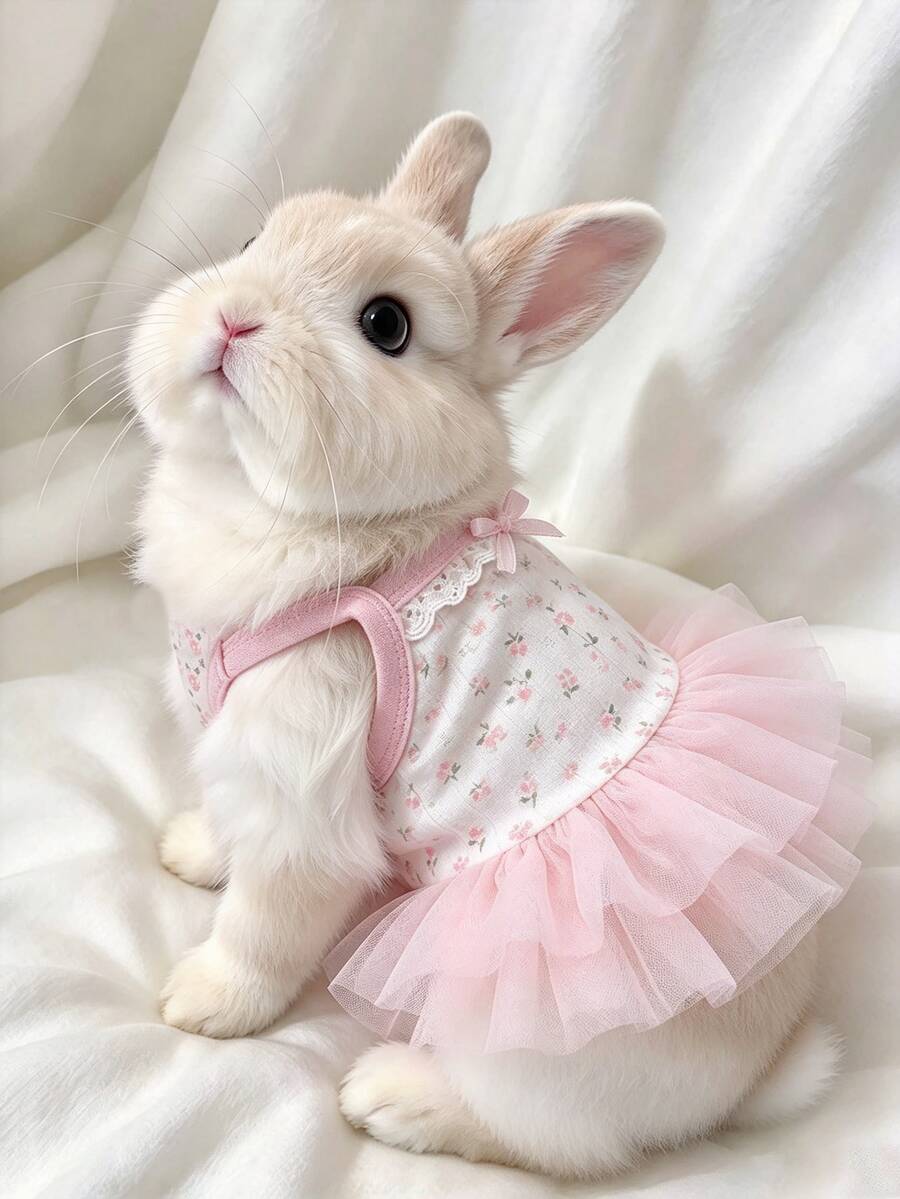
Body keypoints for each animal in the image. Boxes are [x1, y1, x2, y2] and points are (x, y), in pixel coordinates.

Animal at [128, 113, 864, 1179]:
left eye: (385, 326)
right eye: (251, 240)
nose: (234, 319)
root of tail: (751, 1080)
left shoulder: (303, 799)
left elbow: (265, 925)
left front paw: (202, 1001)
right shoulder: (242, 763)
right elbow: (229, 836)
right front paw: (189, 850)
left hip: (524, 1047)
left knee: (554, 1145)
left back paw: (396, 1096)